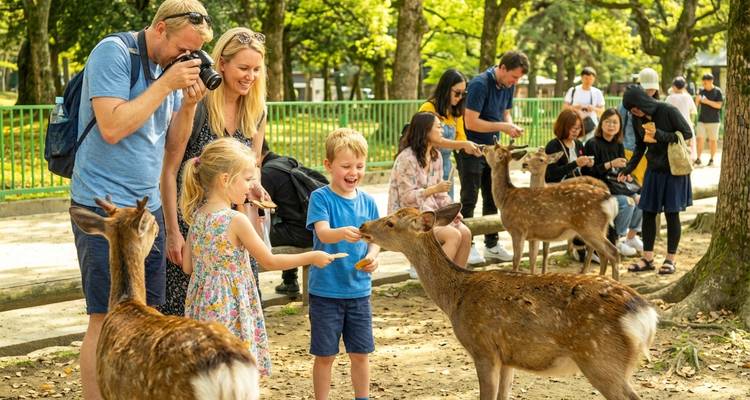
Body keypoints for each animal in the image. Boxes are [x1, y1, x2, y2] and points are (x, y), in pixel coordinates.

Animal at [70, 197, 259, 400]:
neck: (124, 302)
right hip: (251, 393)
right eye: (152, 221)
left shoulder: (109, 392)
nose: (158, 228)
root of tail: (228, 365)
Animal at [359, 203, 658, 400]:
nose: (362, 226)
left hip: (601, 359)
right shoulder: (508, 357)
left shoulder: (483, 348)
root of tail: (645, 316)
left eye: (391, 223)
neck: (456, 298)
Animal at [484, 143, 621, 280]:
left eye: (493, 148)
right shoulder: (533, 235)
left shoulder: (518, 229)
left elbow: (516, 261)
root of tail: (610, 199)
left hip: (590, 226)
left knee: (613, 252)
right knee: (603, 254)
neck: (505, 198)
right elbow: (532, 261)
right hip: (600, 228)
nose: (483, 147)